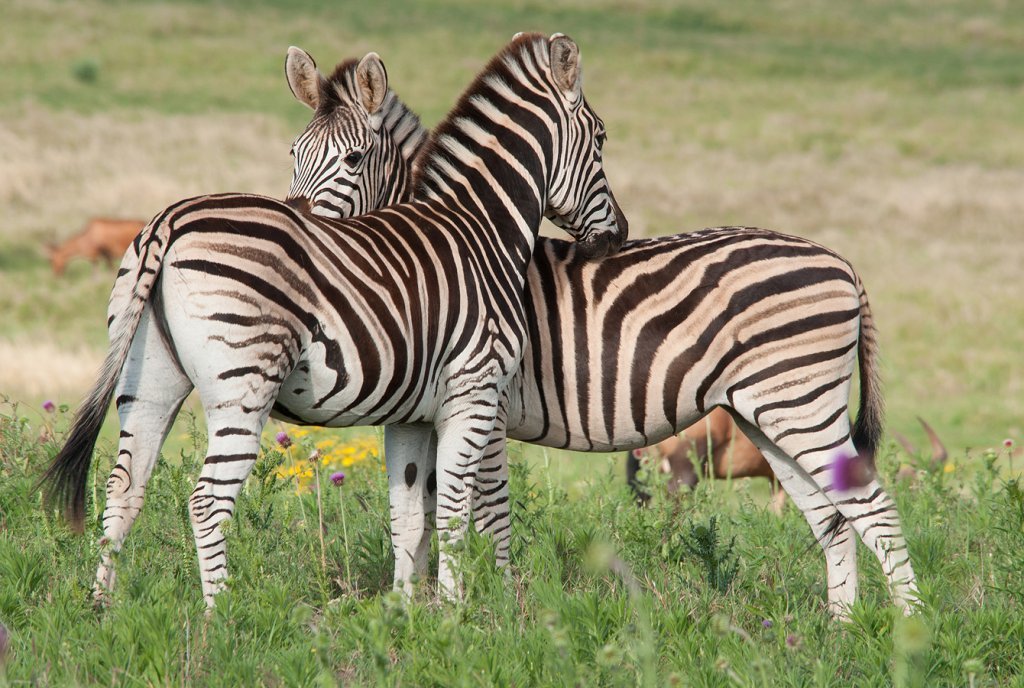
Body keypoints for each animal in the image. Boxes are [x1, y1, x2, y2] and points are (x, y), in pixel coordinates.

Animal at [41, 33, 628, 607]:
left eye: (352, 158)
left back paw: (102, 609)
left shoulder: (413, 412)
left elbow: (409, 514)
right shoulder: (477, 393)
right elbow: (464, 512)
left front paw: (406, 613)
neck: (479, 227)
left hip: (148, 377)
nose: (616, 236)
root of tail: (169, 220)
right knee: (207, 502)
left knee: (123, 489)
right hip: (244, 384)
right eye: (601, 138)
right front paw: (462, 612)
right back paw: (220, 619)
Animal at [280, 53, 919, 618]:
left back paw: (905, 629)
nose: (298, 229)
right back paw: (840, 630)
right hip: (768, 414)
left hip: (802, 403)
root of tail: (841, 261)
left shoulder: (485, 405)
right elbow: (425, 513)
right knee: (832, 518)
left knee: (873, 510)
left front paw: (496, 608)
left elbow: (488, 514)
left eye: (354, 158)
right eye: (294, 154)